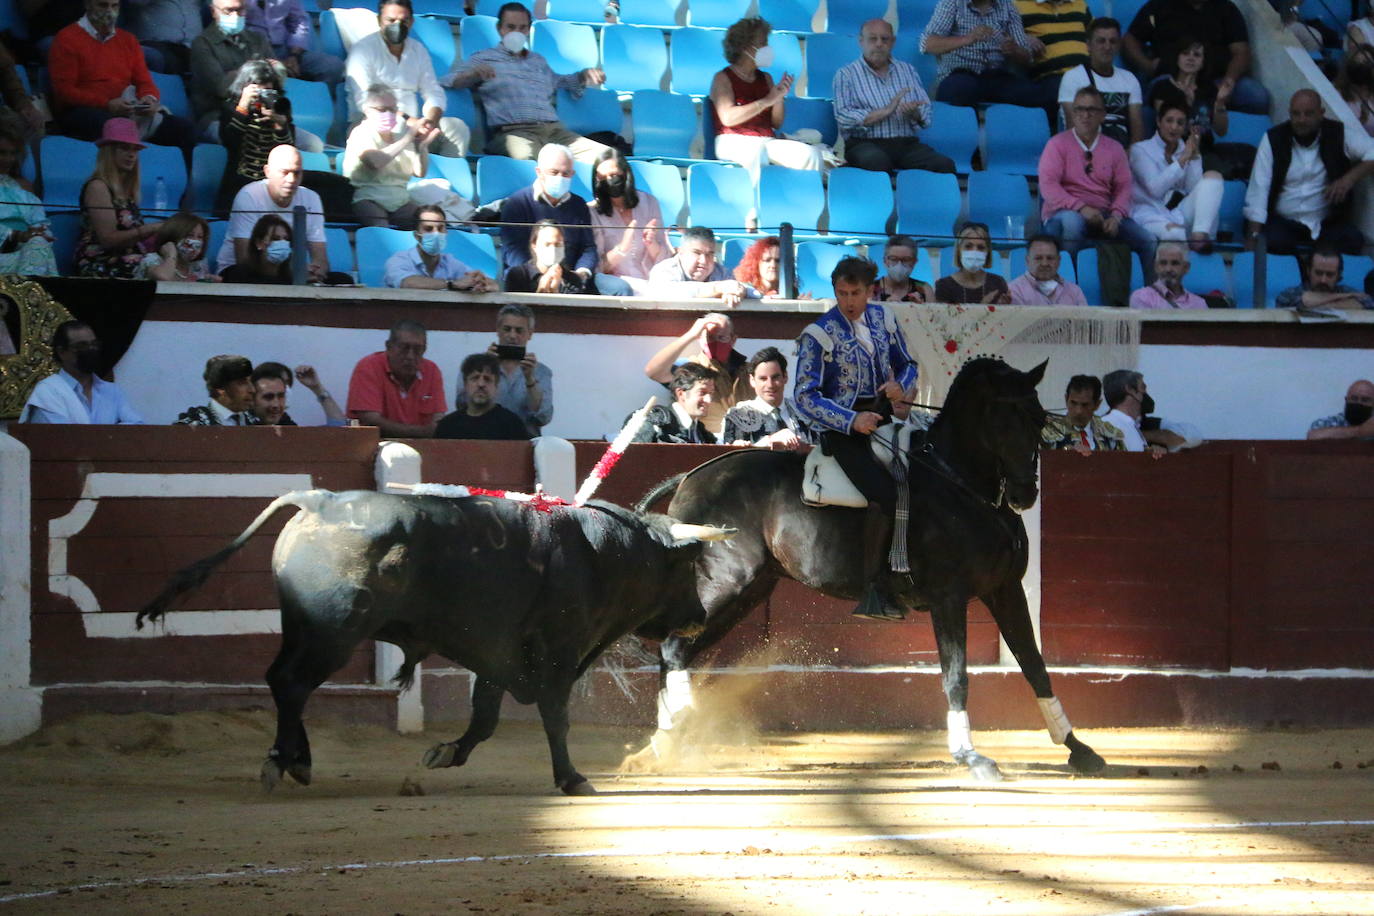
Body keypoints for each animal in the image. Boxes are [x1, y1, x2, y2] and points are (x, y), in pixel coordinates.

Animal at [139, 491, 736, 796]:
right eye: (686, 564)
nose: (698, 617)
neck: (607, 553)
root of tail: (321, 501)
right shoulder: (557, 655)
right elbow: (554, 716)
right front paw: (571, 779)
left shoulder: (498, 654)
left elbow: (486, 717)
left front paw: (445, 753)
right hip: (332, 632)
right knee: (292, 683)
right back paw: (285, 761)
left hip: (302, 627)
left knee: (282, 681)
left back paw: (295, 759)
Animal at [629, 357, 1104, 780]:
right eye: (1001, 420)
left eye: (1038, 418)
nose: (1025, 493)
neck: (960, 483)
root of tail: (691, 476)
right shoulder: (948, 598)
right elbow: (956, 676)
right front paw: (971, 757)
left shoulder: (1005, 589)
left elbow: (1034, 664)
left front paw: (1079, 749)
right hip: (728, 581)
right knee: (673, 648)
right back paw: (676, 734)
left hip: (750, 592)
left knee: (678, 651)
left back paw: (664, 744)